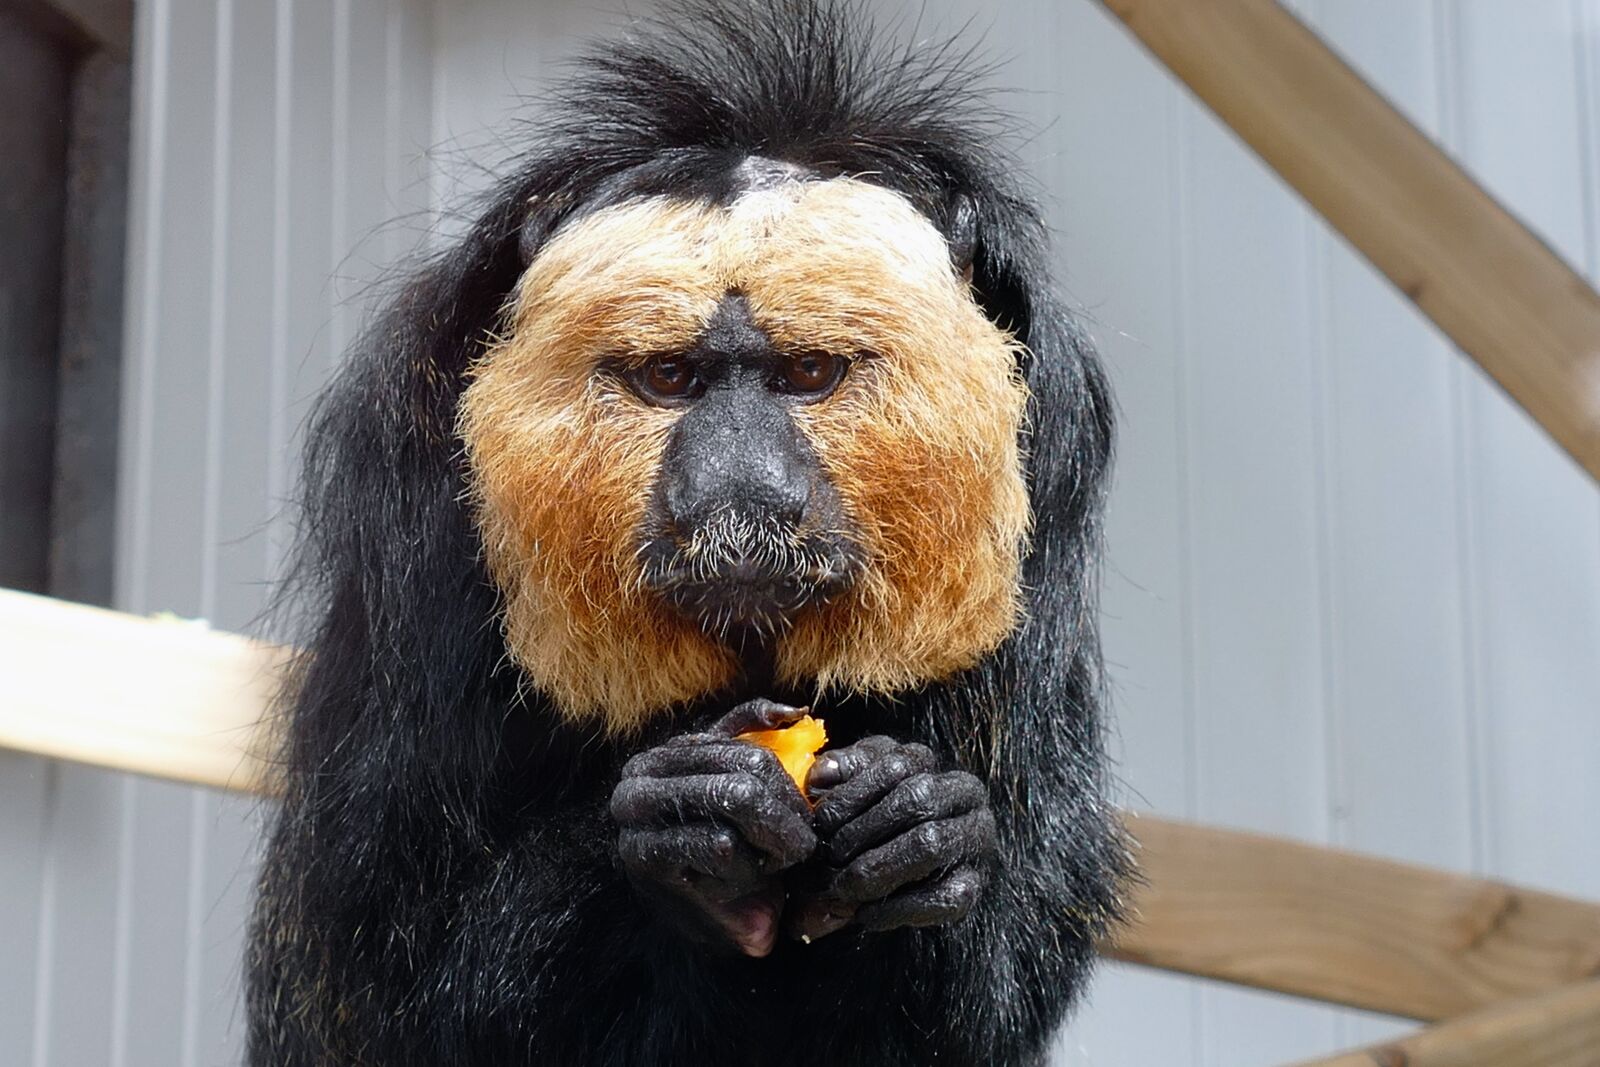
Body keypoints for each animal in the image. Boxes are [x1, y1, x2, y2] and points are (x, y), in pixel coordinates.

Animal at [247, 3, 1126, 1065]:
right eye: (668, 378)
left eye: (808, 373)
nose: (739, 487)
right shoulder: (408, 486)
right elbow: (377, 965)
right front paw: (687, 825)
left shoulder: (1060, 456)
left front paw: (918, 831)